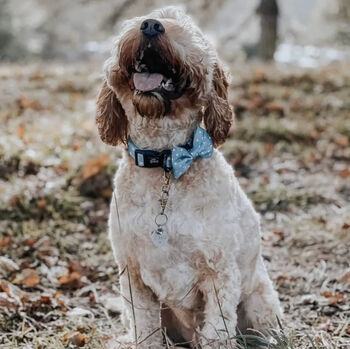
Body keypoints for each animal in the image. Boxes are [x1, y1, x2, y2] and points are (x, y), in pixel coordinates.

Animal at [95, 6, 282, 348]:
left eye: (186, 27)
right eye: (140, 19)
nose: (151, 25)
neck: (165, 163)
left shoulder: (220, 274)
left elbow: (217, 331)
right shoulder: (133, 276)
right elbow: (145, 331)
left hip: (259, 304)